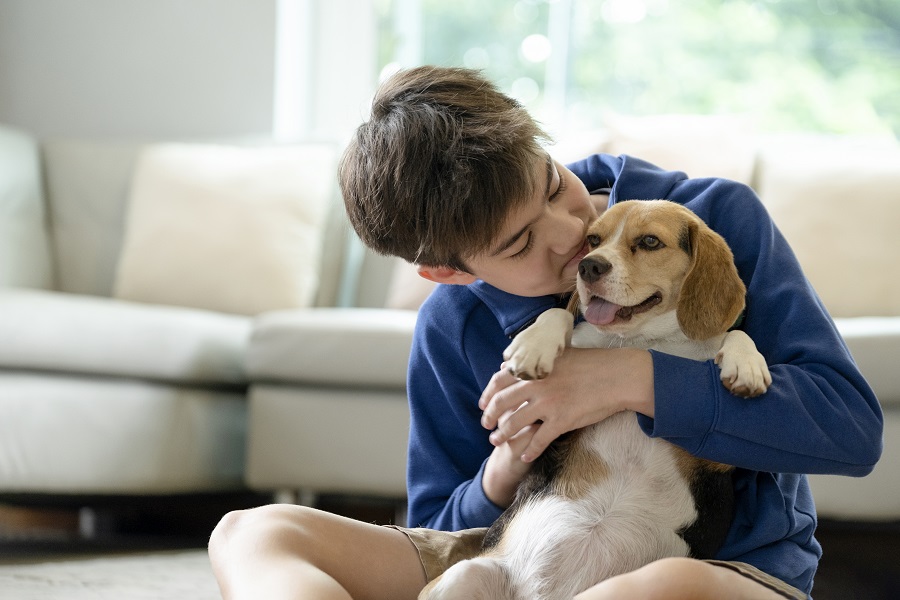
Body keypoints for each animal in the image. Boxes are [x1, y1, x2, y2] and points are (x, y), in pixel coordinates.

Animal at [422, 199, 772, 596]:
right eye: (593, 240)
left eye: (650, 241)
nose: (588, 266)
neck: (643, 340)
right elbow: (558, 313)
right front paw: (534, 345)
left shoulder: (714, 459)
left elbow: (735, 336)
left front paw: (747, 365)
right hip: (465, 575)